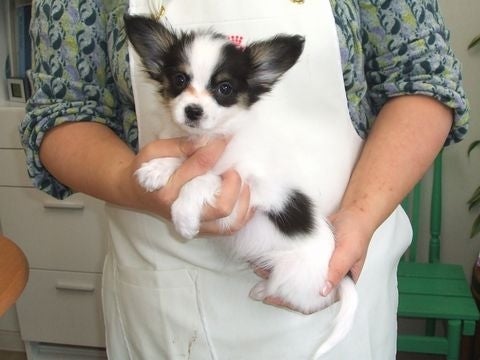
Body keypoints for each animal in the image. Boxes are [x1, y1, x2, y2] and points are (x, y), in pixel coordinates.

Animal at [124, 14, 356, 358]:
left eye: (224, 88)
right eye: (179, 79)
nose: (193, 110)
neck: (211, 138)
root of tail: (340, 276)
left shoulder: (260, 187)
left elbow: (206, 177)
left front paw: (183, 216)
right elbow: (186, 162)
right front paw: (158, 168)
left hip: (292, 278)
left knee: (309, 300)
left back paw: (263, 290)